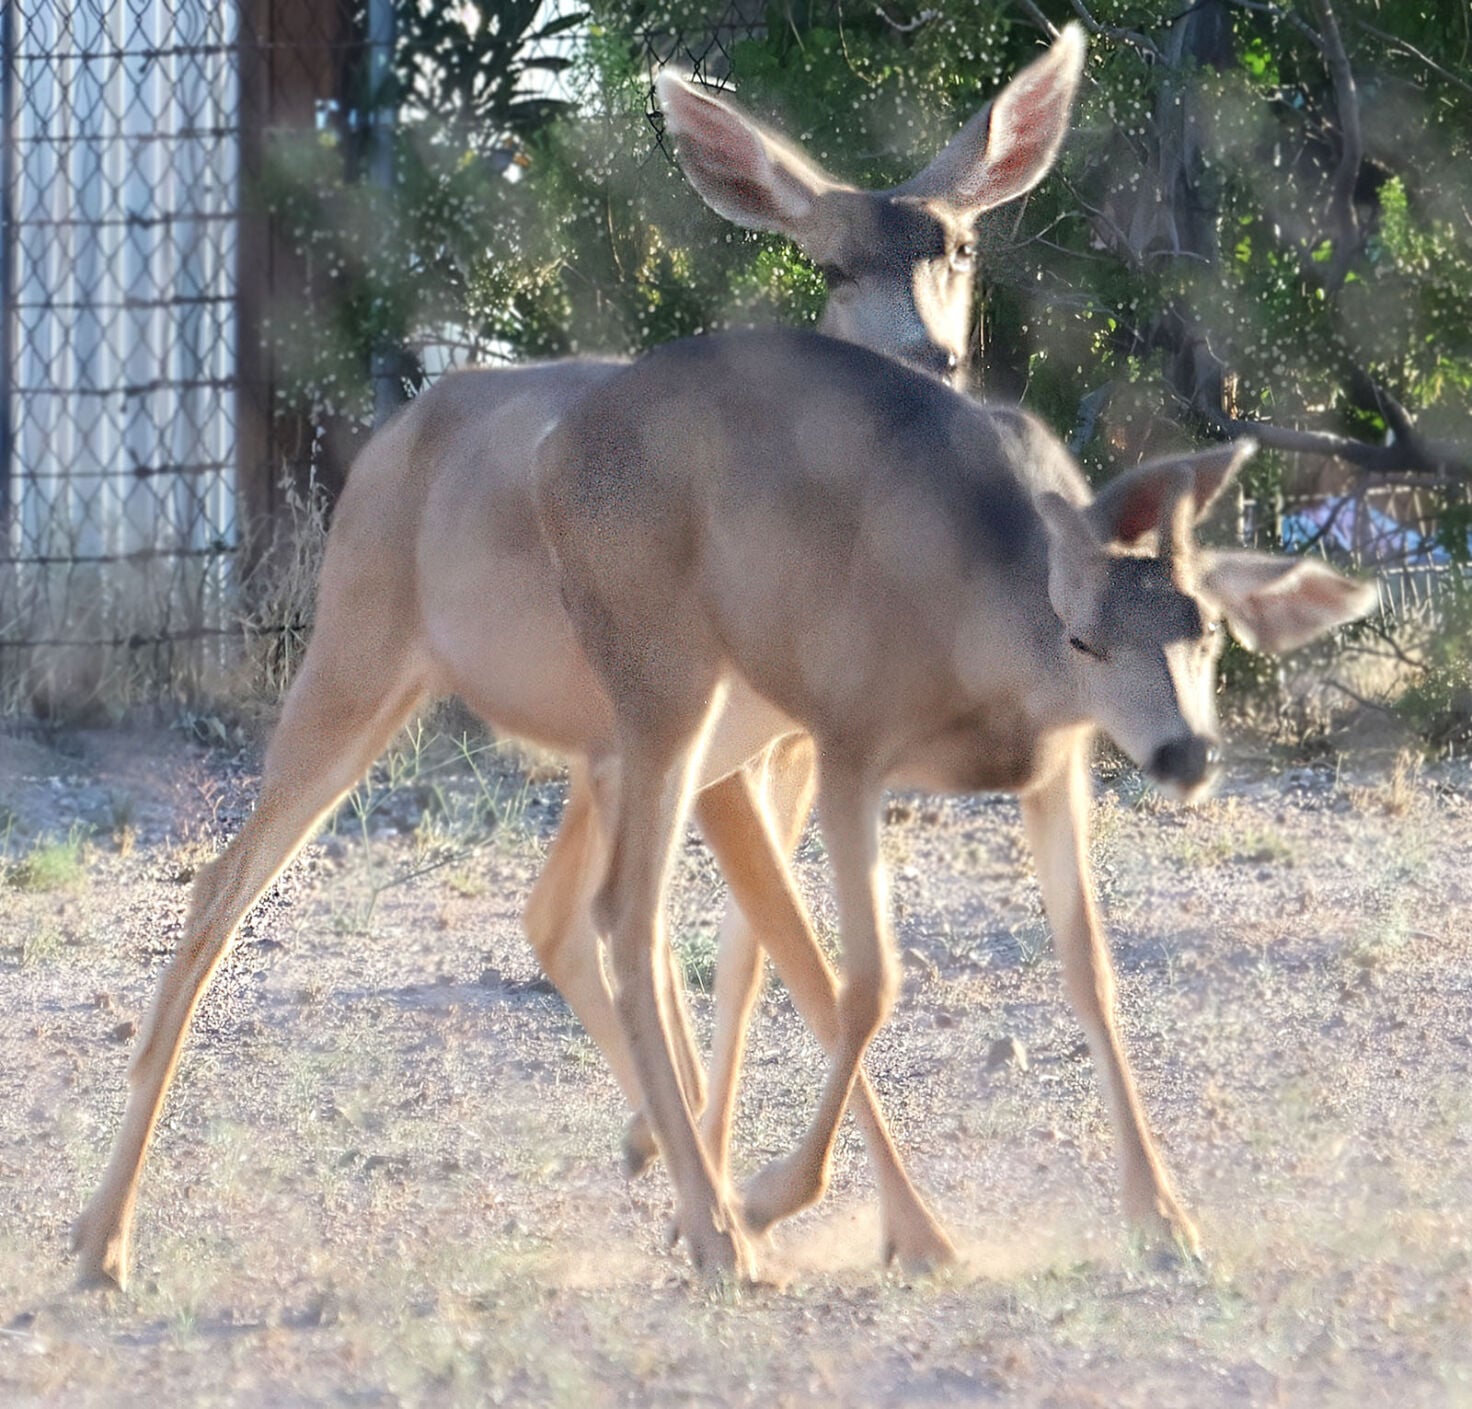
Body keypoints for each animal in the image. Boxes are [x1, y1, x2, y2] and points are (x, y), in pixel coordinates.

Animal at [72, 28, 1089, 1291]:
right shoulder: (726, 742)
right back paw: (101, 1237)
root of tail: (399, 428)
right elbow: (798, 960)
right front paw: (879, 1221)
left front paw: (792, 1201)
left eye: (954, 243)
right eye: (828, 262)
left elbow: (760, 955)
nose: (929, 356)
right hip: (363, 656)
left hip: (591, 741)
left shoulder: (790, 742)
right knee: (225, 890)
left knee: (559, 916)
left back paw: (674, 1165)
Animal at [536, 326, 1379, 1280]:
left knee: (681, 909)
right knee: (629, 907)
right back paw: (724, 1227)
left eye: (1205, 629)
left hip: (729, 712)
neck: (982, 625)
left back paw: (676, 1173)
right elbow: (870, 982)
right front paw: (771, 1192)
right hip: (663, 670)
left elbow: (1090, 969)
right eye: (1082, 639)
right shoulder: (848, 738)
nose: (1185, 752)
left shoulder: (1056, 768)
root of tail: (552, 456)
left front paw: (1165, 1217)